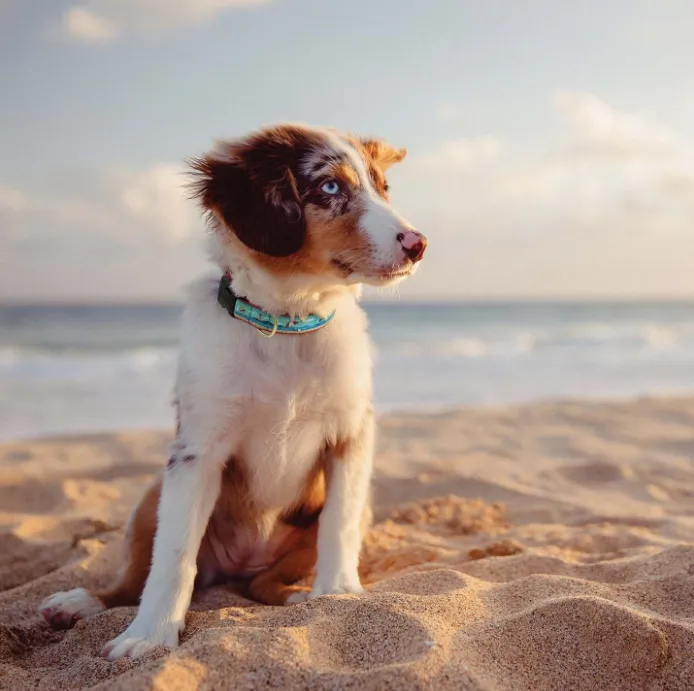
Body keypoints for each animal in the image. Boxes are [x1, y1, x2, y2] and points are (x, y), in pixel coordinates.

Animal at [39, 123, 430, 660]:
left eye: (383, 187)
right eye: (330, 187)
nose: (418, 243)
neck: (287, 323)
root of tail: (242, 563)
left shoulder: (351, 434)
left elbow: (340, 522)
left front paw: (339, 592)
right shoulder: (197, 450)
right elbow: (173, 555)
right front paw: (149, 635)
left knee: (264, 585)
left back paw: (299, 597)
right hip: (149, 499)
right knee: (133, 580)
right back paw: (80, 602)